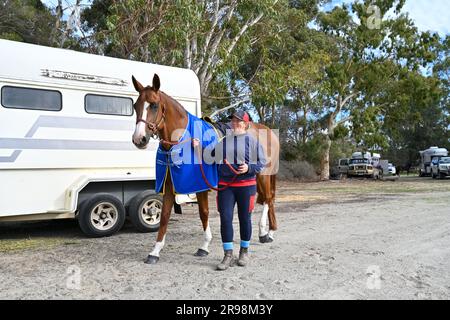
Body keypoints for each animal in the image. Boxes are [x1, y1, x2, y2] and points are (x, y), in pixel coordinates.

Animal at [130, 74, 278, 264]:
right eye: (136, 106)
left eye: (154, 105)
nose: (139, 139)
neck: (180, 140)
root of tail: (267, 130)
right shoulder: (169, 185)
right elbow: (164, 216)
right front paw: (155, 251)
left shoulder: (200, 185)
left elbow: (204, 213)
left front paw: (204, 246)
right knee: (269, 199)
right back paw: (268, 232)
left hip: (263, 175)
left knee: (268, 199)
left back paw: (265, 232)